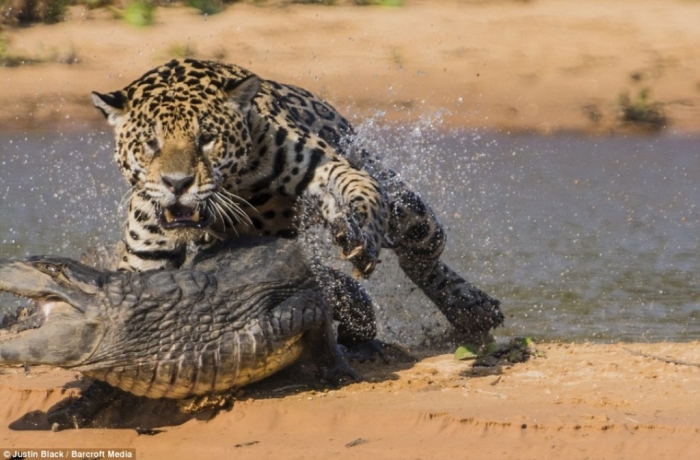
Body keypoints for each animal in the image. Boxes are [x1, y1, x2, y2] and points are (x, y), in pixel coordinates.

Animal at [92, 58, 504, 341]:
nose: (177, 183)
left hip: (409, 211)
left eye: (206, 138)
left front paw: (363, 238)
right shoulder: (147, 258)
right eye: (150, 143)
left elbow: (363, 195)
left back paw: (472, 309)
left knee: (421, 254)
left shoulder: (328, 166)